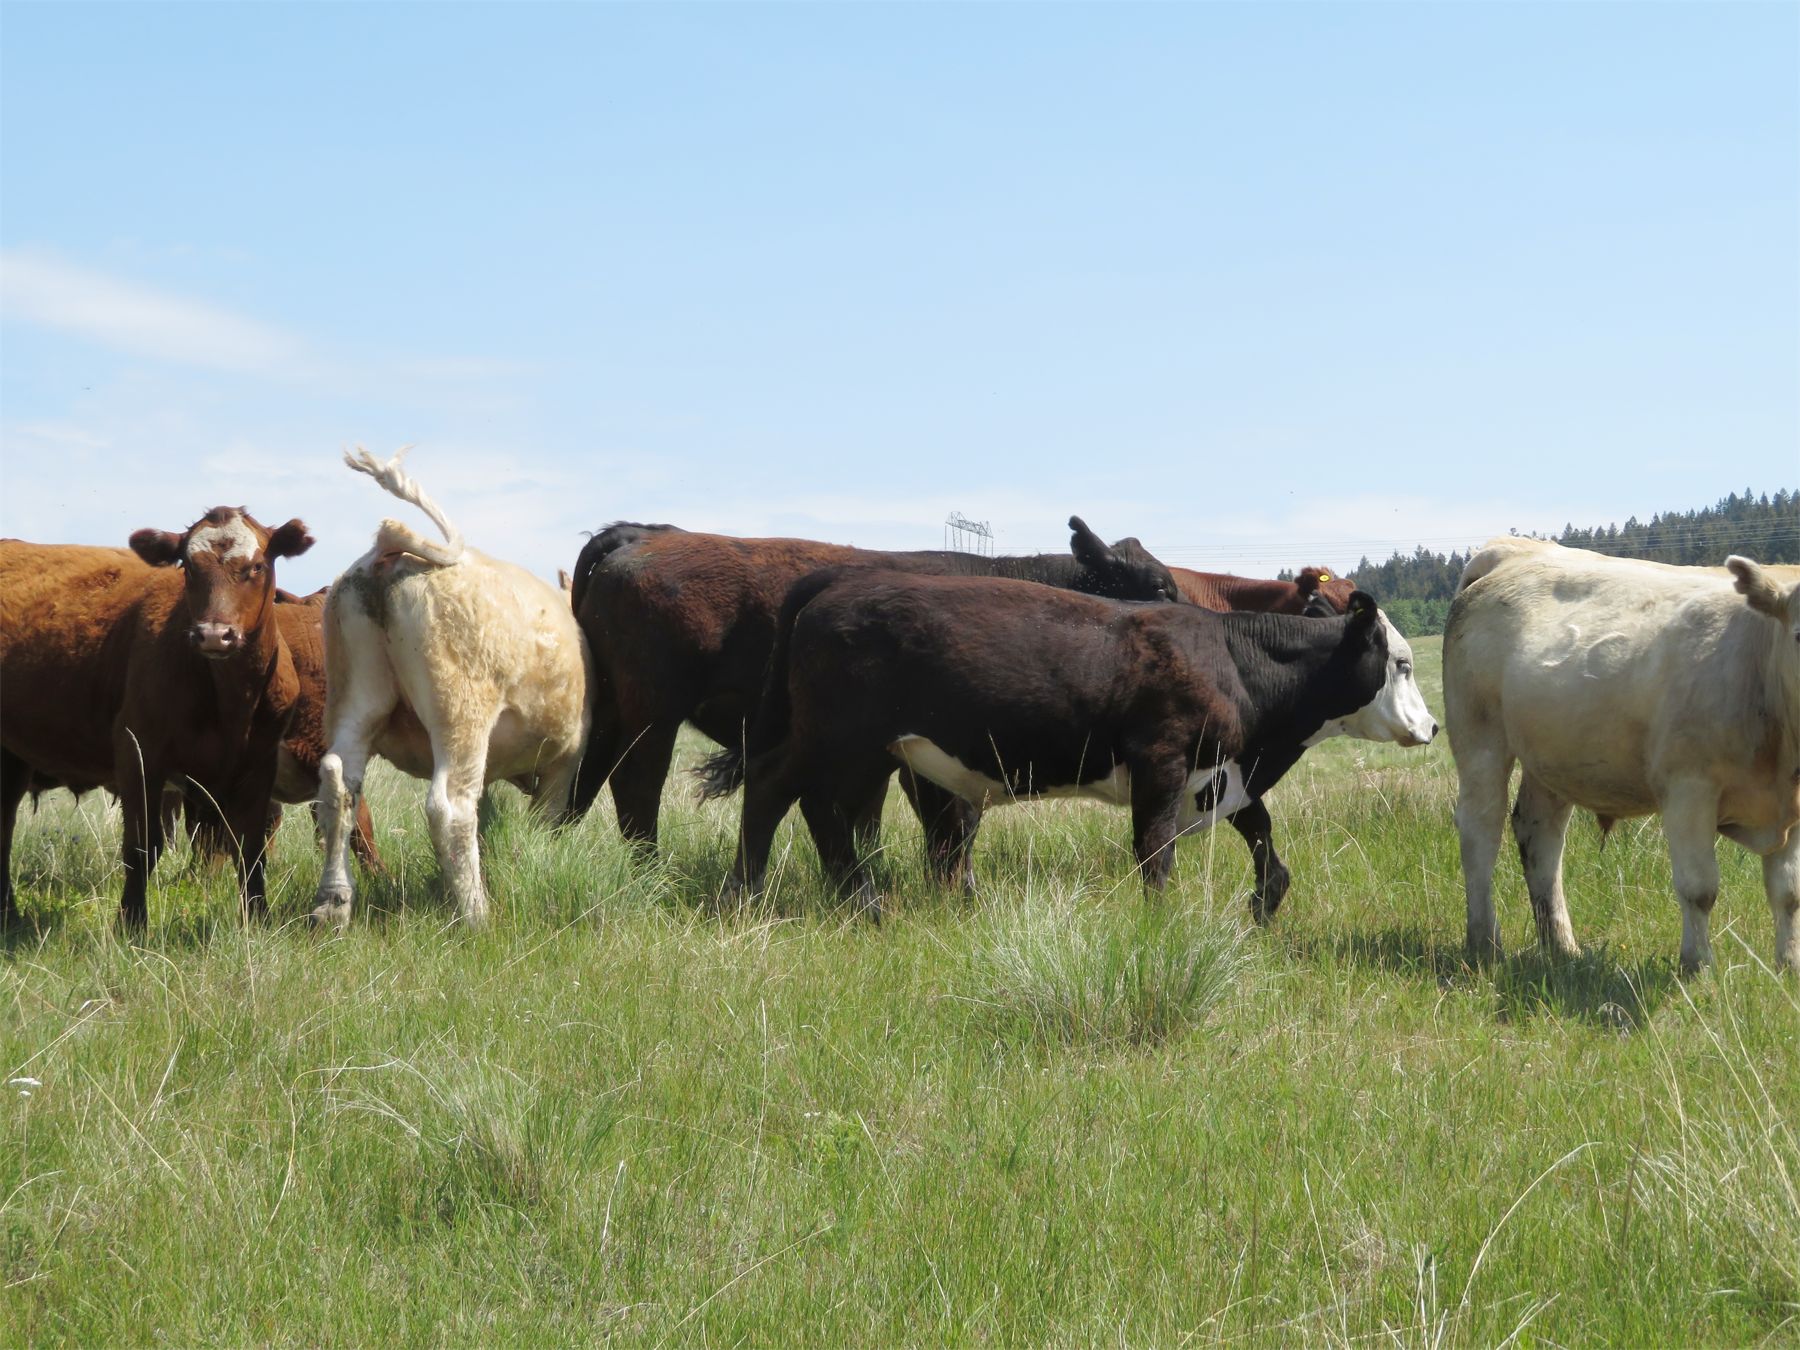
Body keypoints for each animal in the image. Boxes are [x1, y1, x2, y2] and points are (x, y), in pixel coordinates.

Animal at [0, 508, 314, 927]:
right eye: (189, 567)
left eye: (256, 566)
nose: (214, 635)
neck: (231, 701)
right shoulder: (140, 755)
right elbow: (142, 848)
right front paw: (131, 923)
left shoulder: (259, 765)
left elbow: (251, 850)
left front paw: (258, 919)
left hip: (13, 758)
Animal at [310, 447, 592, 929]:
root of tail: (390, 554)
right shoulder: (565, 761)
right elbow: (542, 821)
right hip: (460, 709)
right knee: (450, 807)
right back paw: (477, 915)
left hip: (356, 696)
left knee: (338, 785)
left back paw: (333, 904)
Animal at [568, 517, 1188, 871]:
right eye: (1160, 587)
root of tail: (647, 535)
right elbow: (952, 822)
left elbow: (874, 817)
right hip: (654, 711)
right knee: (635, 786)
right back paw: (651, 873)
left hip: (611, 708)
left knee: (583, 780)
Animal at [1444, 537, 1800, 974]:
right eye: (1799, 636)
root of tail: (1511, 548)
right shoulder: (1688, 788)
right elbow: (1699, 887)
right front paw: (1698, 966)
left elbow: (1788, 893)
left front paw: (1788, 965)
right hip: (1479, 736)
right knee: (1480, 831)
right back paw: (1484, 942)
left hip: (1552, 753)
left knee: (1539, 835)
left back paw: (1562, 946)